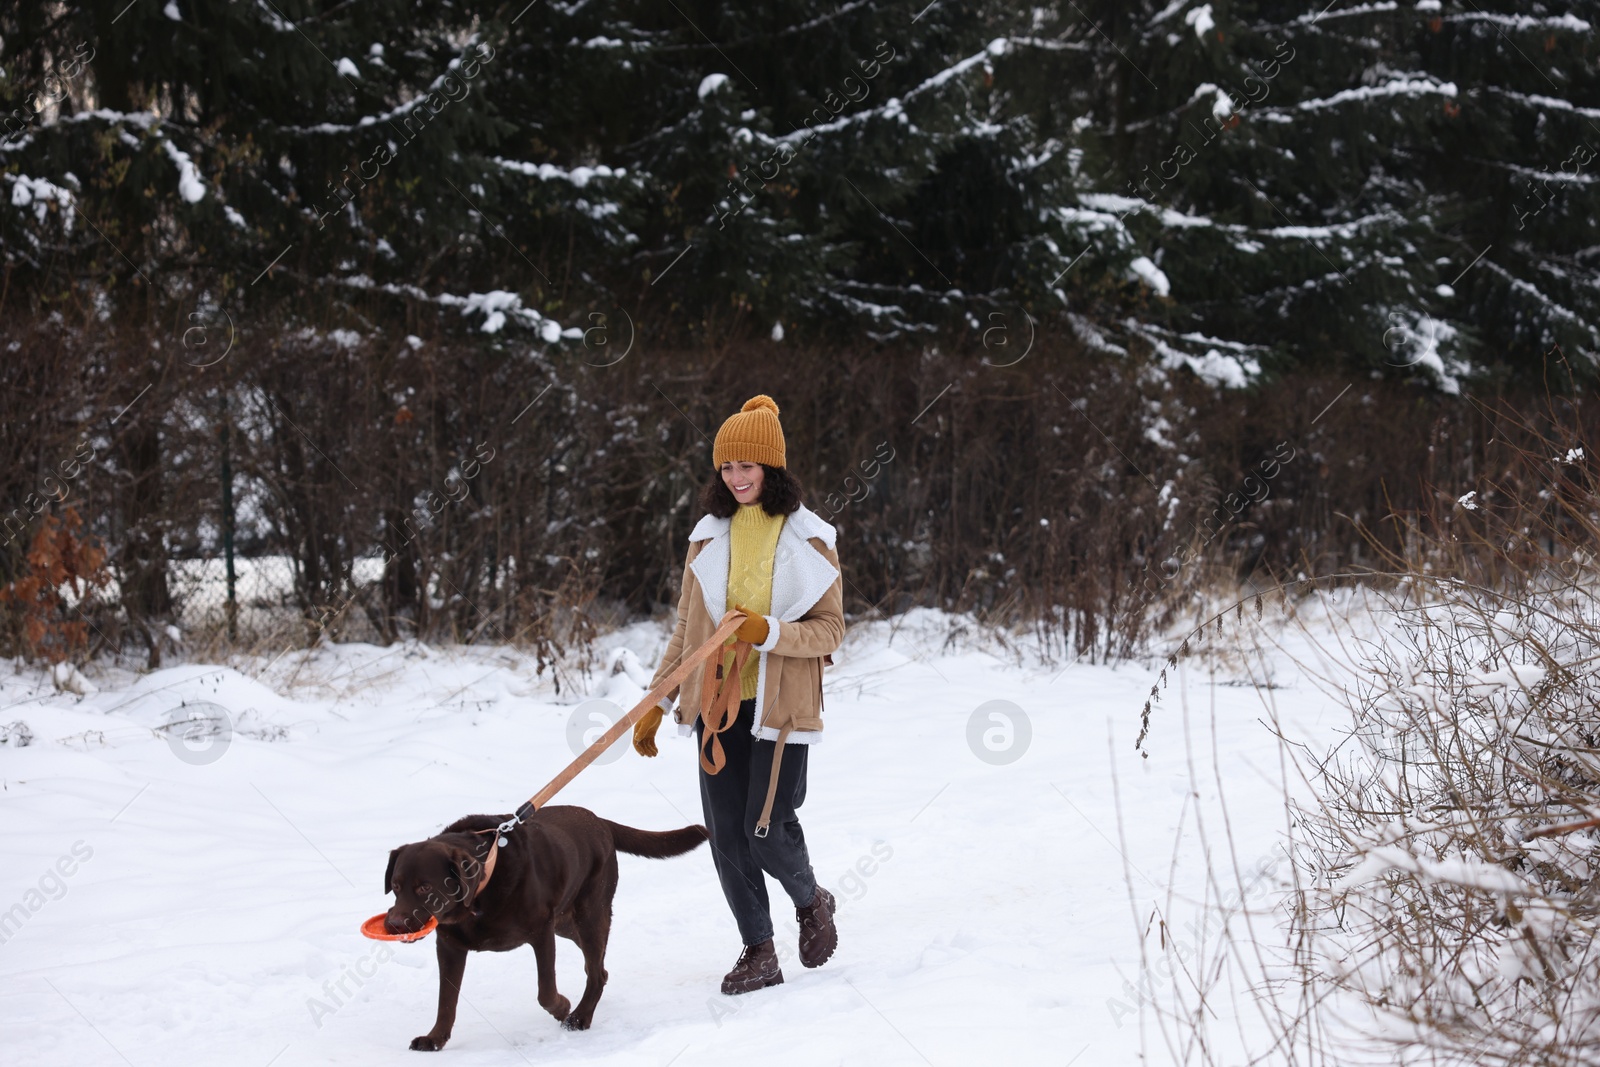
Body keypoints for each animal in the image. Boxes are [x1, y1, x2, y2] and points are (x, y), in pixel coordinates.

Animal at [380, 809, 707, 1049]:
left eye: (425, 888)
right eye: (395, 885)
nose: (393, 923)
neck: (479, 895)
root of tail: (600, 821)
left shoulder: (541, 931)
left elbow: (545, 991)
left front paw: (563, 1007)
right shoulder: (449, 945)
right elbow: (445, 1001)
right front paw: (435, 1039)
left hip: (590, 914)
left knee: (594, 970)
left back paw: (580, 1017)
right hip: (568, 923)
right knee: (598, 967)